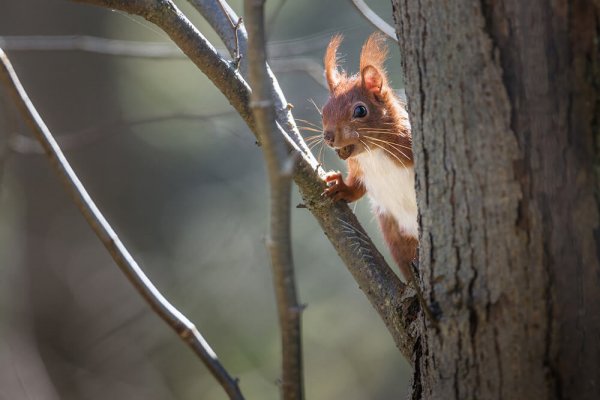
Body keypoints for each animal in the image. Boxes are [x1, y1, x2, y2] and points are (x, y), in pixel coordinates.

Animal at [318, 32, 418, 280]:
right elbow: (356, 187)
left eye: (360, 110)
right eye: (324, 111)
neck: (372, 152)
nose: (328, 136)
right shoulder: (359, 169)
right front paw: (340, 187)